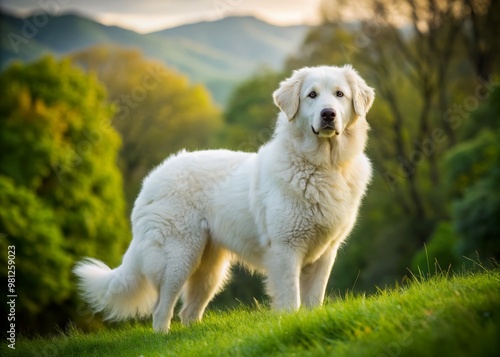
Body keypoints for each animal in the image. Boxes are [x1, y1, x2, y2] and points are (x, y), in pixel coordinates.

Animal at [72, 64, 374, 330]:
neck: (323, 167)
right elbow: (291, 300)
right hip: (178, 259)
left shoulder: (325, 253)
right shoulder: (286, 250)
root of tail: (152, 179)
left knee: (188, 312)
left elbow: (314, 300)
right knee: (161, 311)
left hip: (209, 271)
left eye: (339, 94)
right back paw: (164, 340)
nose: (328, 114)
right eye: (312, 95)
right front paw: (289, 323)